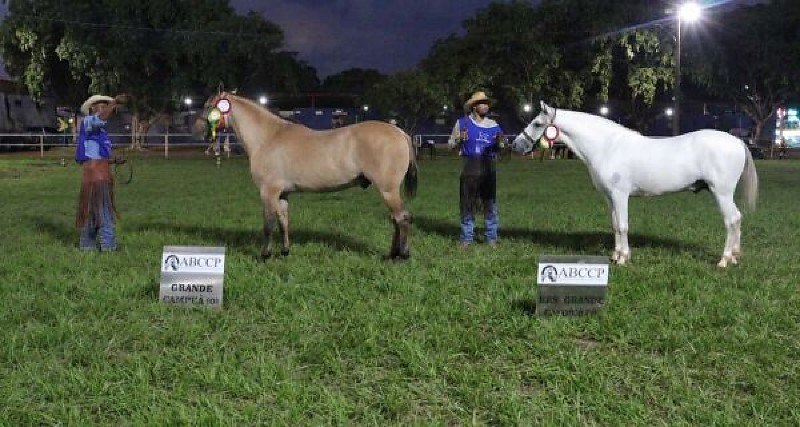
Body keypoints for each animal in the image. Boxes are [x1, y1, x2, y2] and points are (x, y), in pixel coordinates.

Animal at [194, 92, 418, 260]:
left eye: (208, 106)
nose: (196, 128)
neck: (268, 137)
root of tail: (399, 132)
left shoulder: (268, 192)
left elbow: (268, 224)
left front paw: (265, 255)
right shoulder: (282, 194)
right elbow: (283, 221)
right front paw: (285, 251)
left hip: (388, 190)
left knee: (402, 218)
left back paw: (401, 256)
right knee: (396, 219)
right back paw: (392, 254)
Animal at [511, 101, 758, 268]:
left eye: (537, 123)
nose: (516, 145)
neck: (606, 146)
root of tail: (738, 141)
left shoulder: (620, 195)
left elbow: (623, 225)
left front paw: (623, 259)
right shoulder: (609, 197)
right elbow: (614, 224)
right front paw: (616, 255)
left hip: (721, 193)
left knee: (731, 220)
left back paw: (724, 260)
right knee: (737, 219)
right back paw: (734, 256)